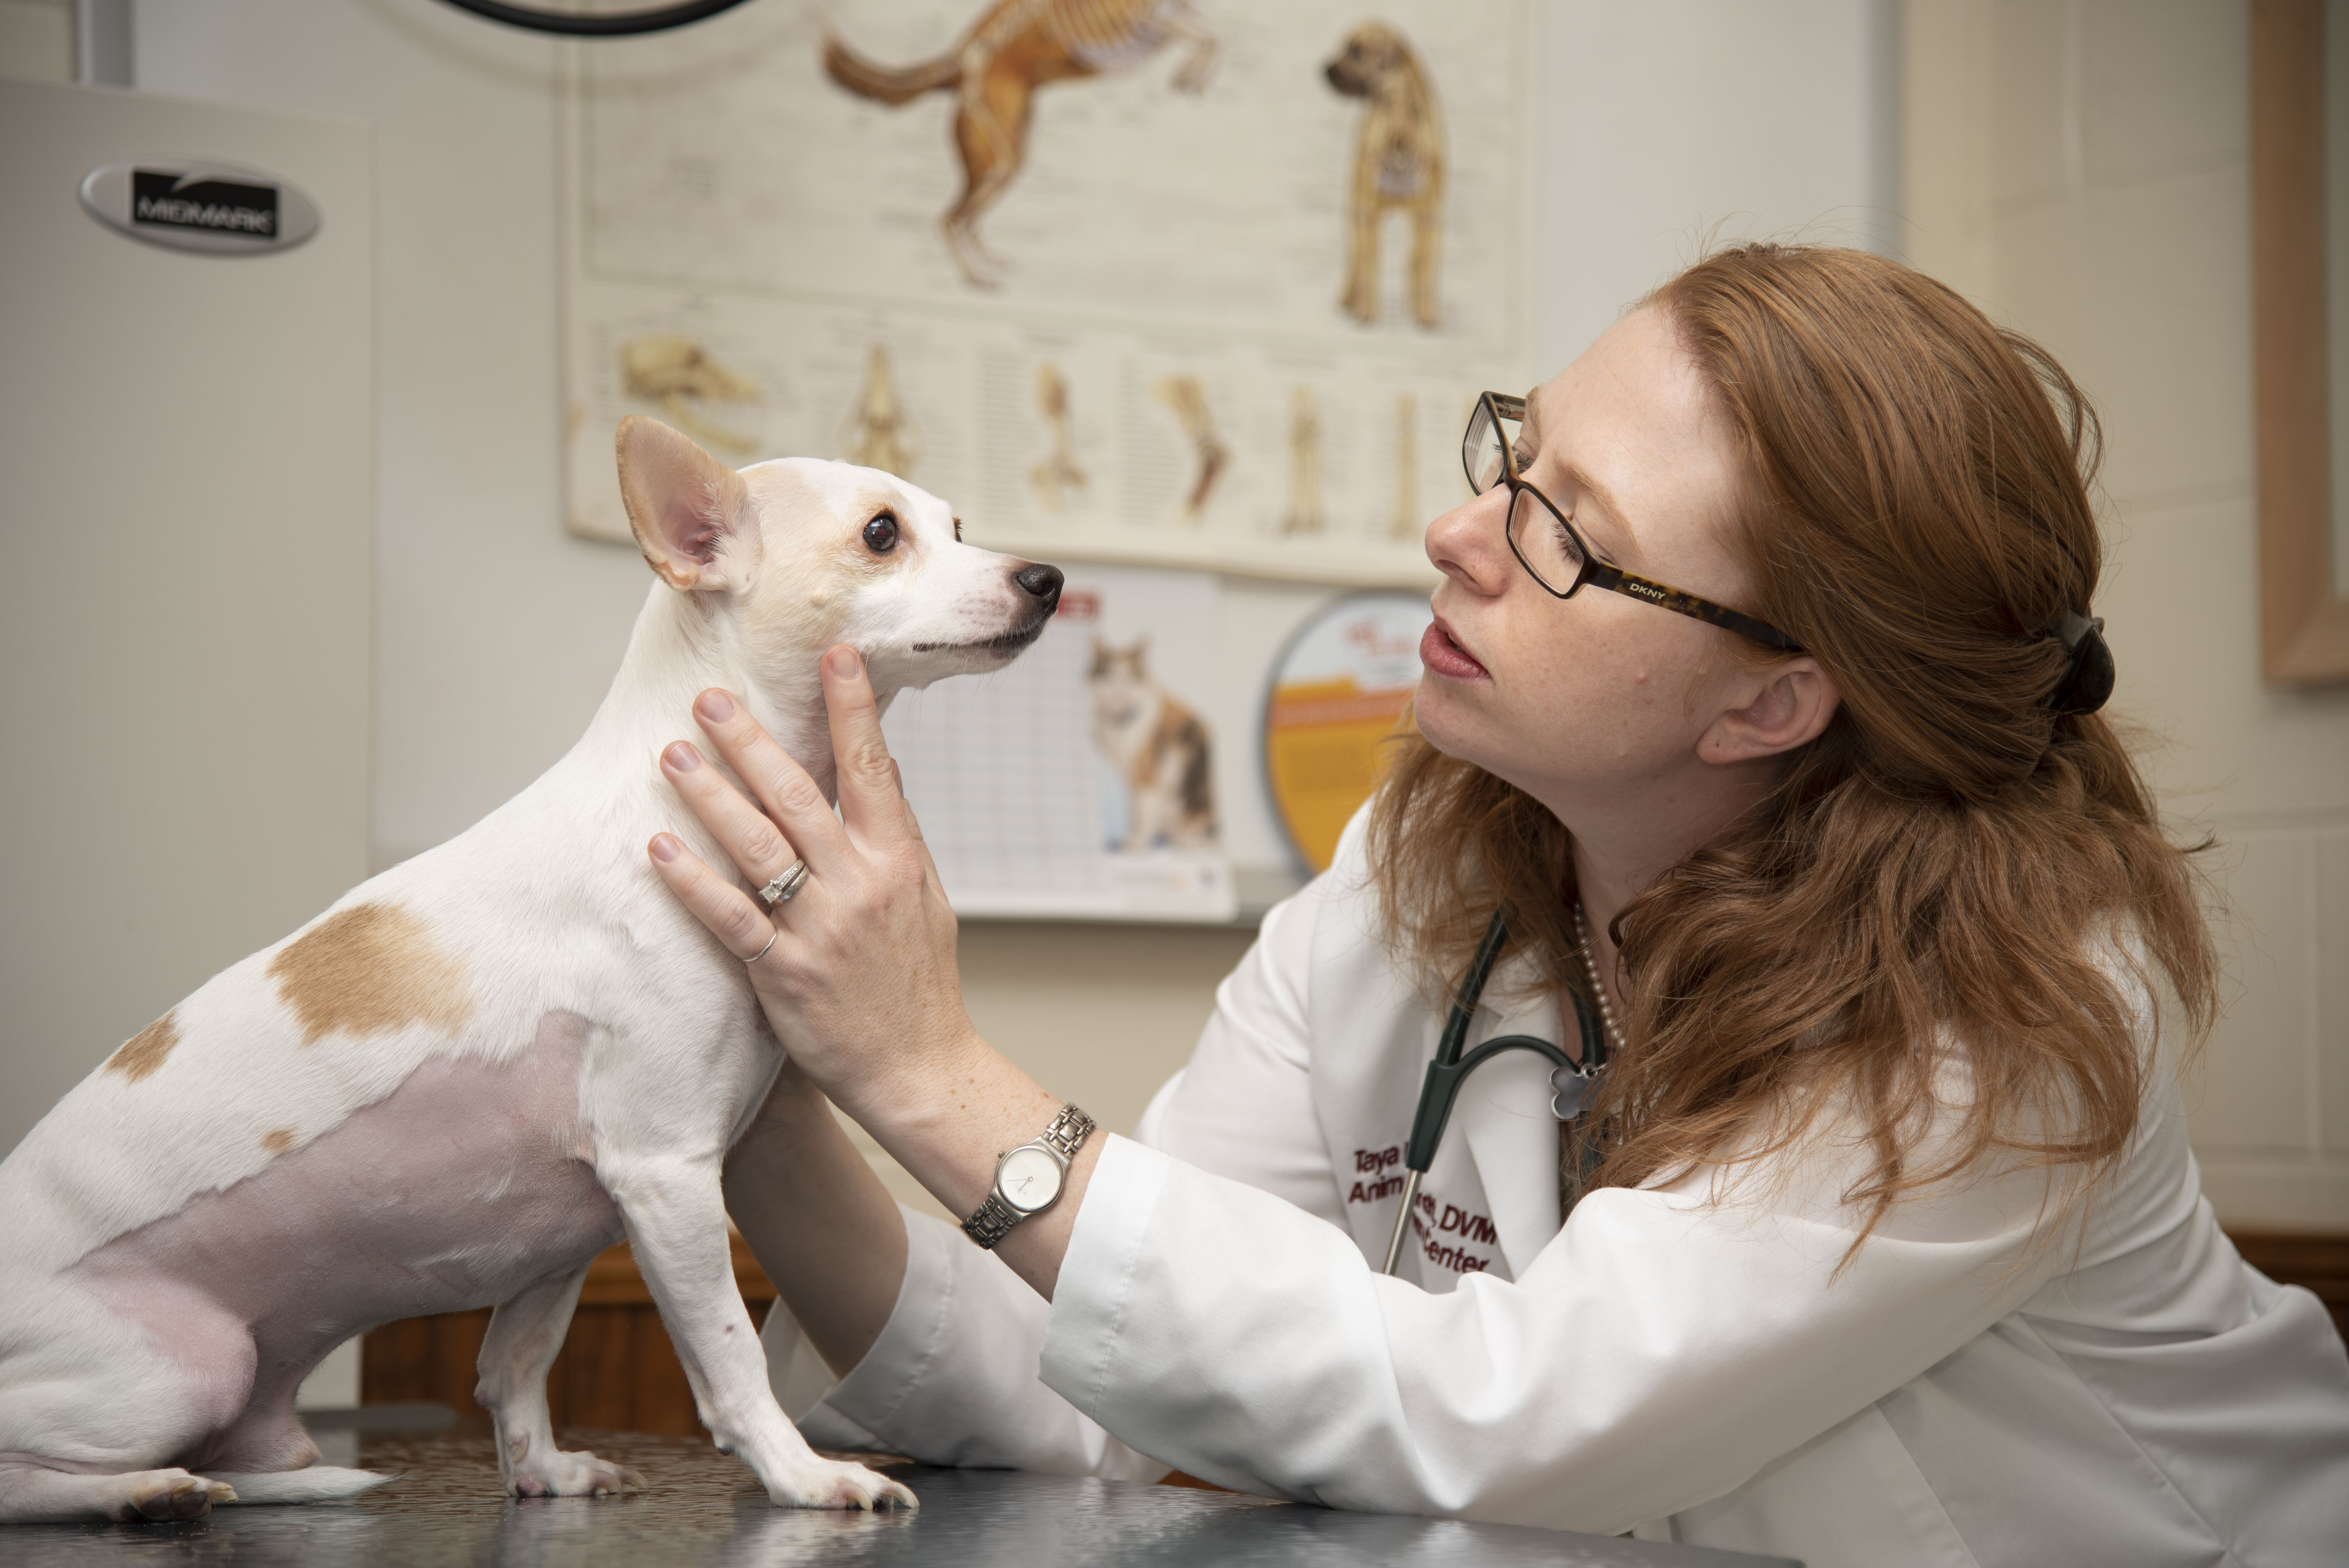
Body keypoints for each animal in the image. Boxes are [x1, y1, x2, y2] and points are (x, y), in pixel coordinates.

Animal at [0, 413, 1066, 1521]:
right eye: (880, 534)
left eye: (956, 525)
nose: (1047, 578)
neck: (682, 803)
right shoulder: (661, 1174)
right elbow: (730, 1358)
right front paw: (802, 1472)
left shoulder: (568, 1226)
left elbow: (514, 1364)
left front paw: (542, 1472)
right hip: (178, 1370)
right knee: (21, 1475)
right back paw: (144, 1489)